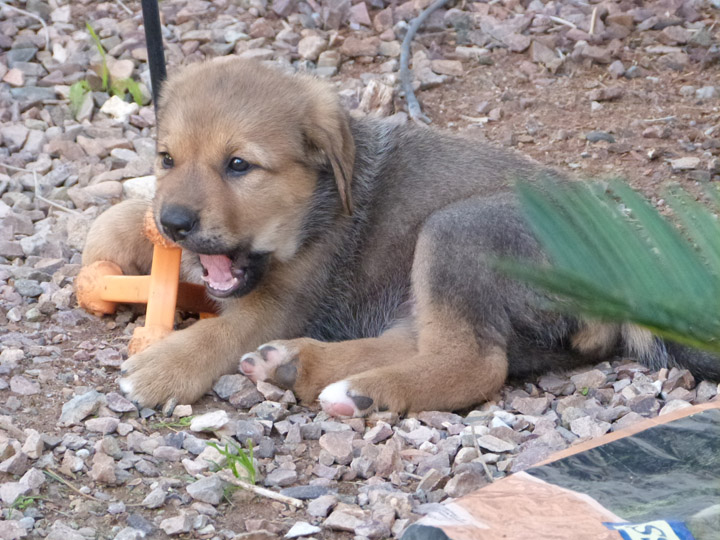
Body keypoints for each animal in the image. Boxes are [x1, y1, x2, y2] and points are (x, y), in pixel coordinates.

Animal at [84, 57, 720, 416]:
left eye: (239, 165)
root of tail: (622, 282)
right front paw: (106, 242)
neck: (317, 206)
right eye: (167, 159)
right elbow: (127, 211)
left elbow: (221, 331)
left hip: (455, 231)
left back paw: (358, 392)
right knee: (422, 343)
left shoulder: (285, 302)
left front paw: (162, 369)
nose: (176, 224)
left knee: (474, 363)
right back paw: (296, 366)